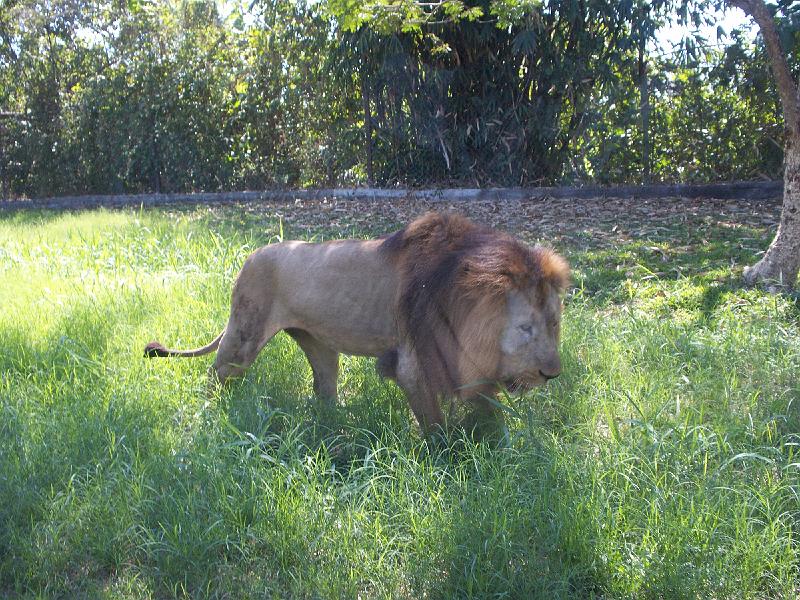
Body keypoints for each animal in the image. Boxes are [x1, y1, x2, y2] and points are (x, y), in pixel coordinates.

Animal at [145, 212, 569, 435]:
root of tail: (250, 256)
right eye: (525, 328)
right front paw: (448, 461)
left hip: (319, 346)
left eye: (554, 324)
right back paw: (213, 416)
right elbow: (435, 427)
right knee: (215, 373)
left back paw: (337, 426)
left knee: (324, 389)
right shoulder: (413, 362)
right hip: (243, 335)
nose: (551, 375)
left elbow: (488, 412)